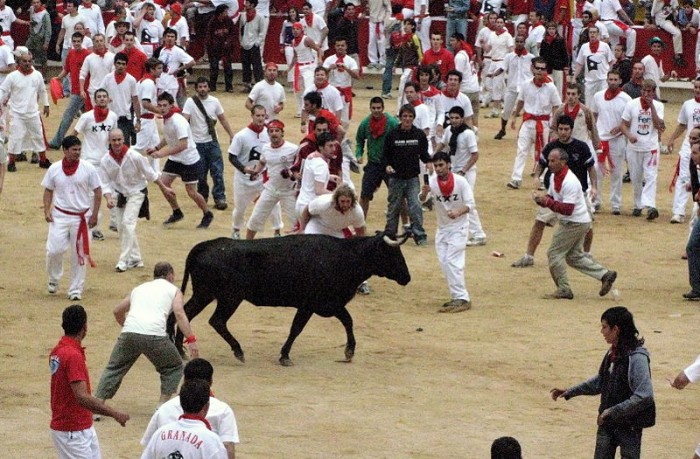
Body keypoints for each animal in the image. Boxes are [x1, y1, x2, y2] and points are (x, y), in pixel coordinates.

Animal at [171, 234, 410, 366]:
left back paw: (180, 351)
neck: (345, 256)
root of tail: (204, 246)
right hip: (228, 297)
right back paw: (238, 351)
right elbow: (298, 328)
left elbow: (346, 321)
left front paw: (349, 352)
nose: (407, 277)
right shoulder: (313, 304)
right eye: (393, 254)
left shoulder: (327, 305)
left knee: (183, 314)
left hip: (206, 294)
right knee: (216, 321)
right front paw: (285, 355)